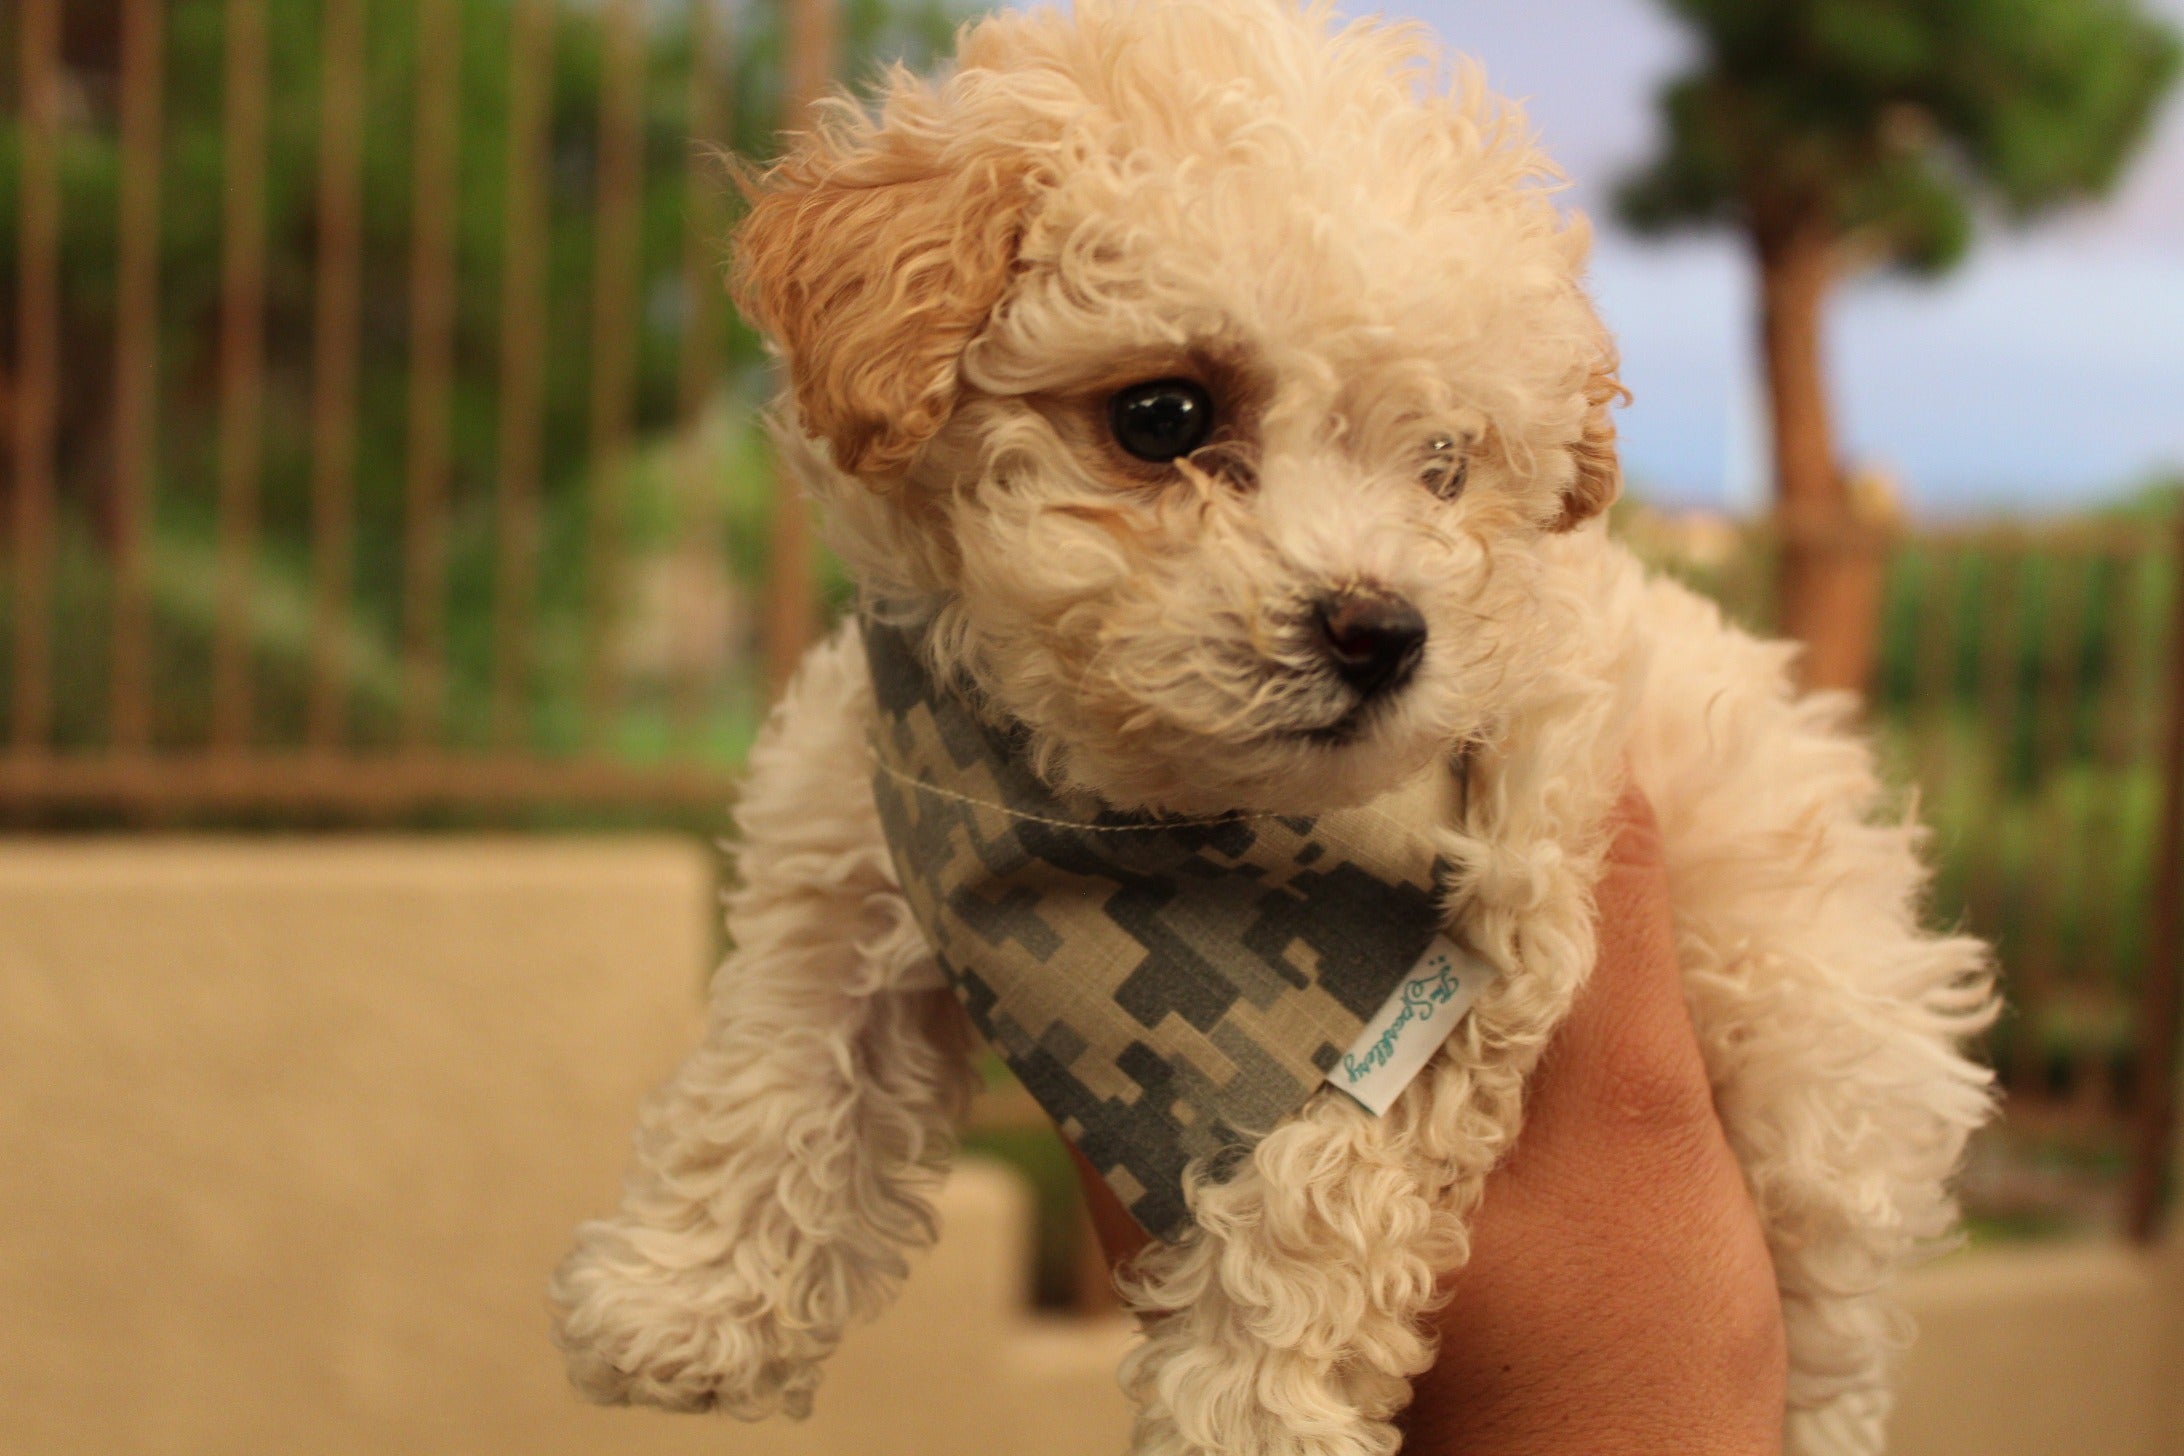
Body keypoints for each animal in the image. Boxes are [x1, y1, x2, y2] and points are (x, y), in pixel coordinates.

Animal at [546, 2, 2000, 1456]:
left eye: (1445, 464)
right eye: (1164, 416)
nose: (1380, 630)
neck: (1141, 817)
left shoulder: (1482, 928)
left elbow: (1323, 1170)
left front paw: (1247, 1415)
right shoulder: (865, 821)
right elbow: (786, 1057)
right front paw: (682, 1299)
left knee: (1830, 1340)